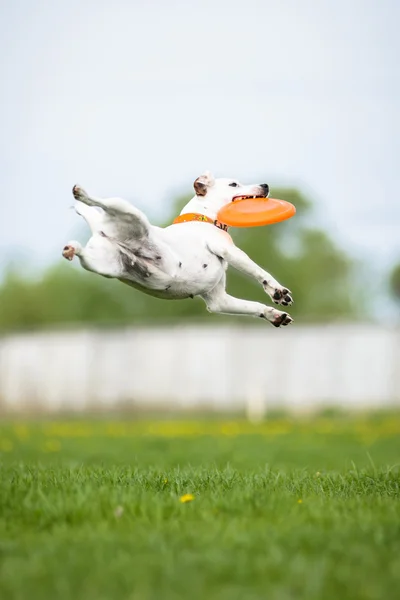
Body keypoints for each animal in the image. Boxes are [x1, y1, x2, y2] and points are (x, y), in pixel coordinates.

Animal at [63, 171, 294, 326]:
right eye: (234, 184)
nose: (265, 185)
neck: (204, 217)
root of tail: (100, 227)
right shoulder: (228, 250)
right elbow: (260, 272)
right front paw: (277, 292)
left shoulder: (219, 300)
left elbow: (251, 306)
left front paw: (273, 314)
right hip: (128, 211)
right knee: (101, 202)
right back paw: (82, 195)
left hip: (102, 264)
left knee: (83, 254)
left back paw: (71, 248)